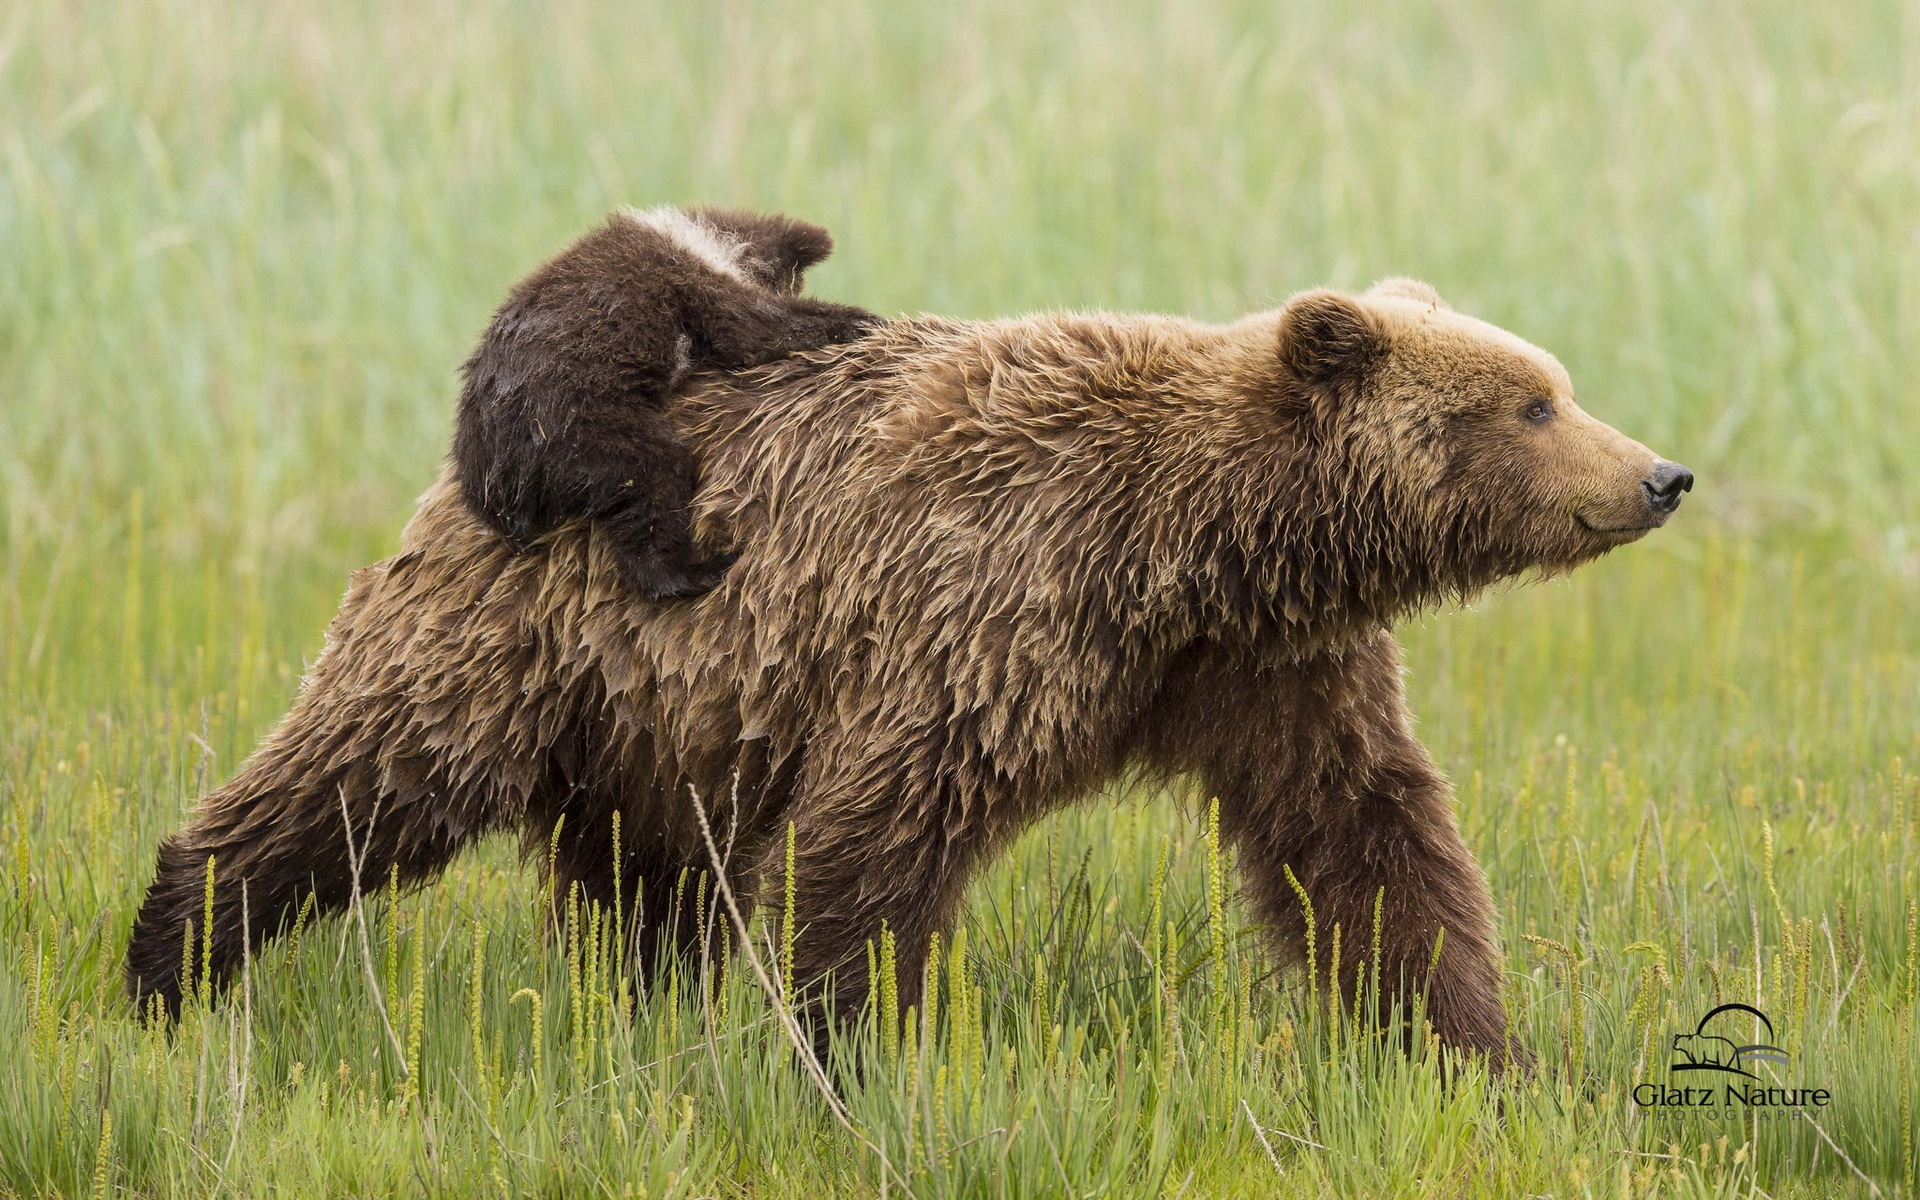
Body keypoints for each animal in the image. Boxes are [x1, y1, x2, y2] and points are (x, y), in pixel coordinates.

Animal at [127, 280, 1689, 1067]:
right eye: (1530, 403)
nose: (1660, 474)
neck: (1197, 549)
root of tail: (484, 445)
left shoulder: (1261, 672)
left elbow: (1366, 839)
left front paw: (1467, 1046)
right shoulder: (993, 612)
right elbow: (880, 839)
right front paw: (845, 1050)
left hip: (666, 716)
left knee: (650, 882)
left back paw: (647, 1006)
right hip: (525, 636)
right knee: (362, 777)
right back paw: (171, 956)